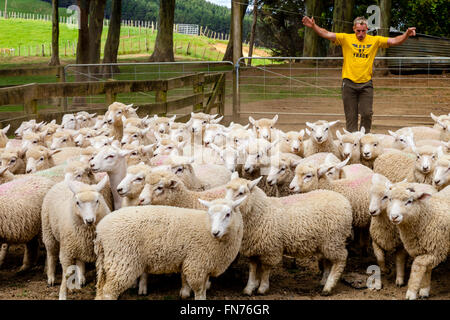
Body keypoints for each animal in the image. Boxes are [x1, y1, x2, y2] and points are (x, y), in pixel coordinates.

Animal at [94, 195, 246, 300]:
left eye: (228, 214)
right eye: (210, 214)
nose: (215, 232)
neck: (206, 227)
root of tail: (100, 230)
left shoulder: (204, 265)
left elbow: (202, 290)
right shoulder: (196, 265)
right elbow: (199, 292)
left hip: (109, 261)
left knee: (101, 290)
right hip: (123, 260)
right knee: (108, 293)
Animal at [225, 174, 356, 296]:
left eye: (241, 193)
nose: (226, 206)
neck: (262, 212)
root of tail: (345, 201)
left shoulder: (270, 249)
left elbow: (265, 269)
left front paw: (262, 288)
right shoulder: (254, 248)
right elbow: (252, 269)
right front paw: (249, 287)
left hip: (334, 239)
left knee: (340, 259)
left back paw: (328, 286)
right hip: (326, 242)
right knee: (328, 260)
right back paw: (324, 281)